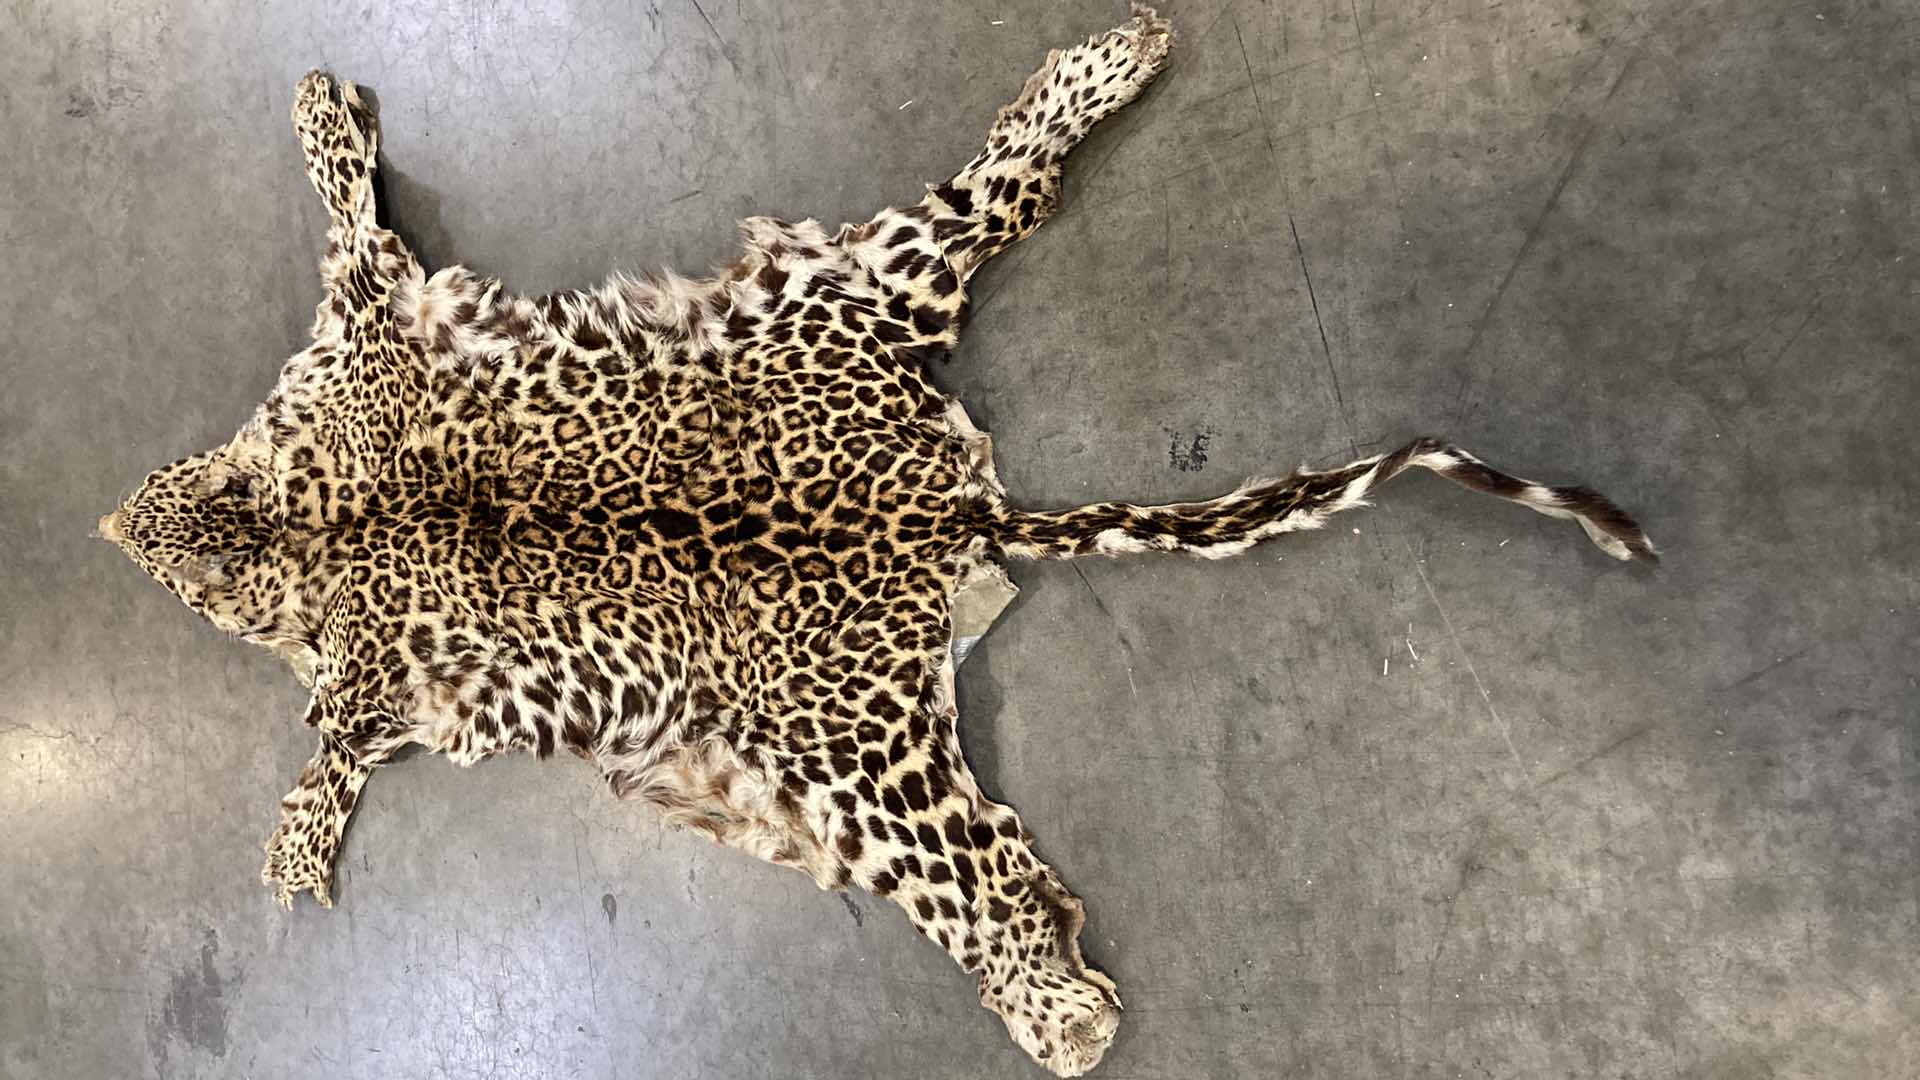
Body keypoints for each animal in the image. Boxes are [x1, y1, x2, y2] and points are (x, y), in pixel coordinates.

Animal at [97, 6, 1654, 1074]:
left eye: (177, 570)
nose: (112, 524)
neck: (304, 516)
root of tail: (943, 506)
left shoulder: (363, 344)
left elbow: (326, 747)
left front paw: (288, 856)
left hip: (853, 751)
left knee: (994, 890)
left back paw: (1059, 1015)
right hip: (860, 308)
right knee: (998, 201)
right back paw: (1115, 60)